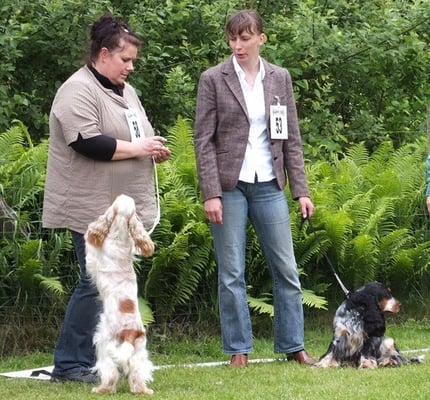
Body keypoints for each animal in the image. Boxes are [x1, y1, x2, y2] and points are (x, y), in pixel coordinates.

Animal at [85, 194, 155, 394]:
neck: (119, 235)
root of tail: (131, 332)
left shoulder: (92, 258)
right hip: (139, 352)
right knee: (137, 375)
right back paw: (144, 391)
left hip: (104, 343)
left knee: (111, 375)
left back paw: (101, 389)